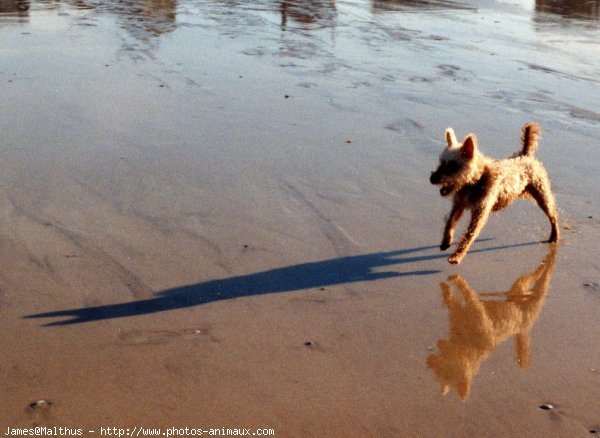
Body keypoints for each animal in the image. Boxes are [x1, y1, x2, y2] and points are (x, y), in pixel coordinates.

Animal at [428, 121, 560, 264]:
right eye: (441, 162)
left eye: (453, 166)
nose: (432, 179)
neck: (475, 181)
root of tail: (525, 155)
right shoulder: (459, 204)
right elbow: (450, 222)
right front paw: (446, 241)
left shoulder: (480, 212)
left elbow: (469, 235)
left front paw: (457, 256)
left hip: (541, 192)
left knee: (553, 215)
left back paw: (555, 235)